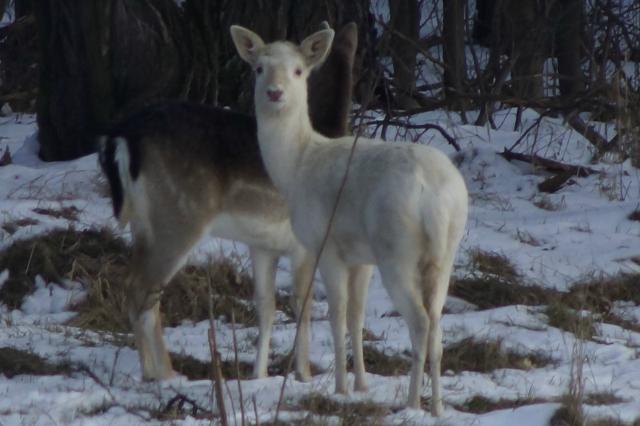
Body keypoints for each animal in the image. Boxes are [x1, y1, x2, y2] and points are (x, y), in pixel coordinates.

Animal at [97, 23, 372, 386]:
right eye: (259, 68)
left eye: (298, 70)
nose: (274, 93)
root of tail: (122, 136)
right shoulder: (304, 245)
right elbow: (303, 304)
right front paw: (304, 376)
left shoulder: (264, 244)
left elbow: (267, 307)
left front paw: (259, 375)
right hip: (178, 215)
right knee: (139, 289)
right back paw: (163, 375)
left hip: (144, 222)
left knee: (144, 292)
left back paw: (159, 371)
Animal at [230, 25, 464, 414]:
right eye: (259, 68)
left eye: (298, 70)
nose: (275, 92)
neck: (296, 168)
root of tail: (436, 200)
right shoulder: (361, 257)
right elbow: (356, 315)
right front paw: (362, 384)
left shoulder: (324, 245)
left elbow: (336, 314)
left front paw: (340, 388)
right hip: (446, 253)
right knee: (437, 325)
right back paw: (437, 407)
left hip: (397, 248)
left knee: (419, 322)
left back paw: (412, 403)